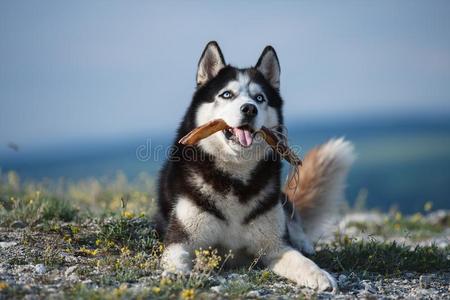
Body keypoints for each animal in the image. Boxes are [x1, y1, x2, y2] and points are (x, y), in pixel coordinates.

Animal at [156, 41, 354, 290]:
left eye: (259, 98)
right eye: (227, 94)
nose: (249, 108)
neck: (235, 178)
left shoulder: (275, 245)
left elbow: (299, 259)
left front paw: (319, 274)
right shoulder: (181, 238)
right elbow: (176, 256)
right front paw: (176, 273)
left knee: (292, 218)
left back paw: (303, 242)